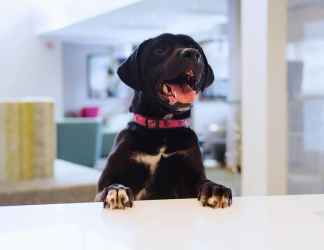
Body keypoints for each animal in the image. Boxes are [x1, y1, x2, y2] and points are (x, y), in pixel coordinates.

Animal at [95, 33, 232, 209]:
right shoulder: (104, 183)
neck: (162, 130)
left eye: (195, 47)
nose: (193, 54)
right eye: (160, 50)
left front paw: (216, 189)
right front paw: (117, 190)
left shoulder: (190, 175)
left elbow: (203, 181)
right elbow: (109, 186)